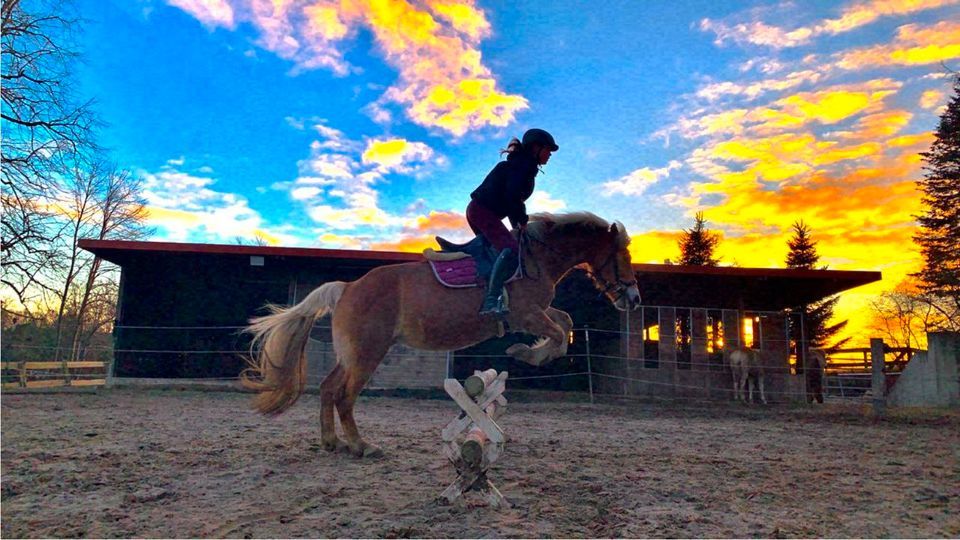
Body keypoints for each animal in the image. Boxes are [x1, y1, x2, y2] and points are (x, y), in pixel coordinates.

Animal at [244, 213, 640, 458]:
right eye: (624, 256)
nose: (634, 299)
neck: (536, 259)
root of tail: (347, 287)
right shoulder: (527, 314)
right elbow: (558, 332)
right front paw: (524, 352)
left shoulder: (536, 313)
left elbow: (566, 323)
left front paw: (528, 351)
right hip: (368, 354)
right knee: (344, 396)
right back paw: (361, 446)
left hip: (353, 354)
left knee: (328, 388)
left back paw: (331, 442)